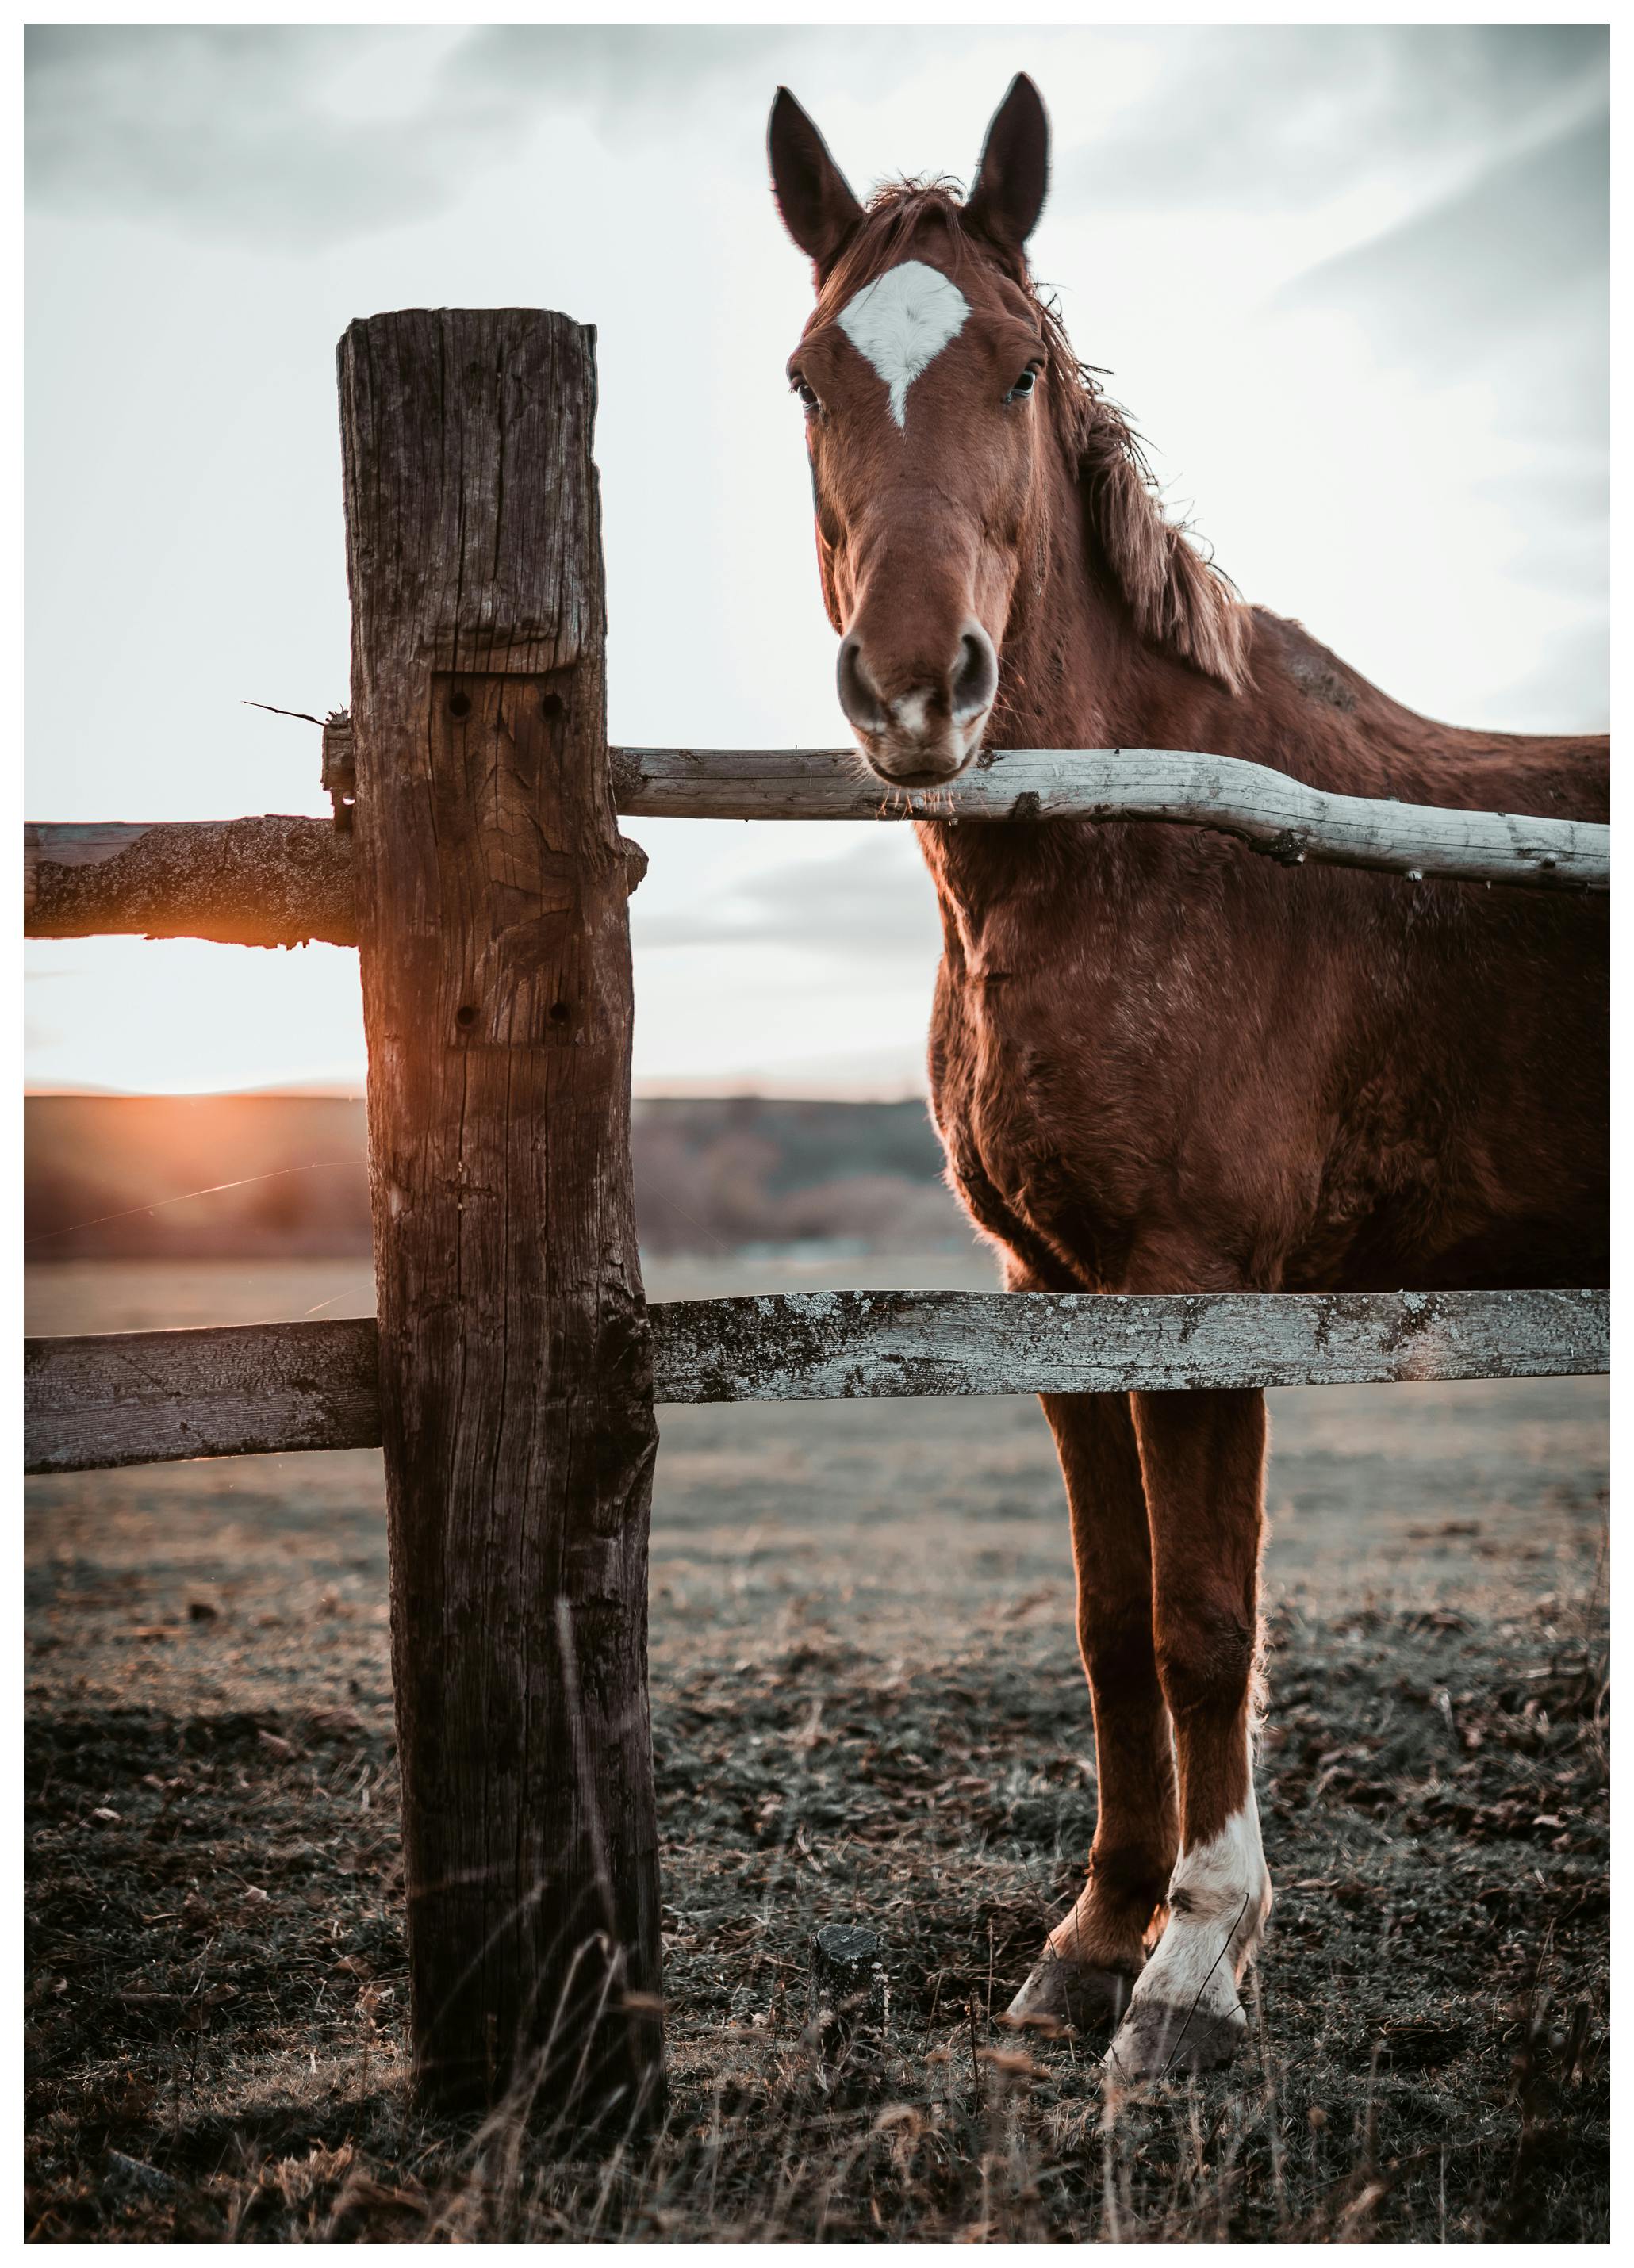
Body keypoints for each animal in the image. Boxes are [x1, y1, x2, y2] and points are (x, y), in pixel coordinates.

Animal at [766, 74, 1608, 2077]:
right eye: (808, 378)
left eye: (1011, 369)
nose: (912, 684)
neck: (1138, 838)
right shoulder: (1050, 1291)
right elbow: (1106, 1618)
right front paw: (1087, 1939)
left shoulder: (1195, 1286)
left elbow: (1206, 1615)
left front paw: (1193, 1972)